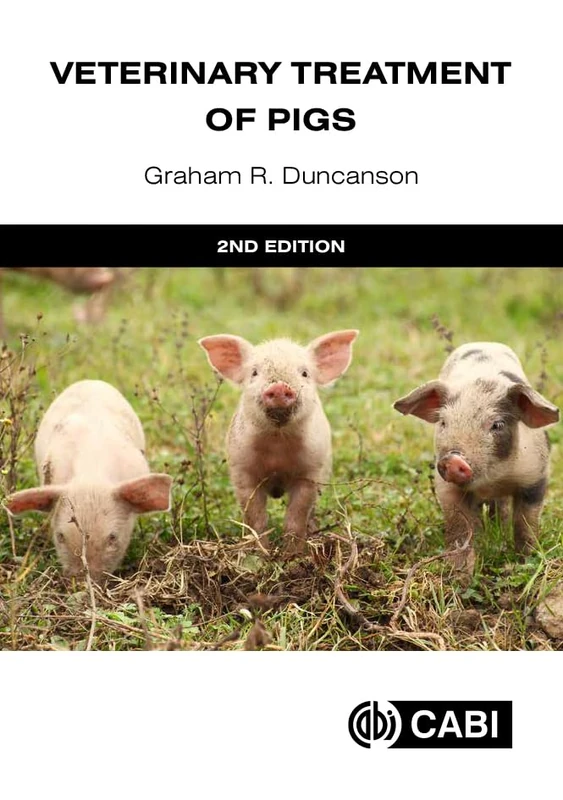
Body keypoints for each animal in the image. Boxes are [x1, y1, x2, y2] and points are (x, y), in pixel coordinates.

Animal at [198, 330, 359, 557]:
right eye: (254, 372)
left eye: (304, 373)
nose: (280, 386)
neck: (277, 446)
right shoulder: (242, 471)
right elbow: (255, 518)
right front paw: (260, 555)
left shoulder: (310, 472)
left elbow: (295, 517)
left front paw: (293, 556)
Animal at [393, 342, 560, 573]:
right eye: (443, 422)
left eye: (497, 424)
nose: (453, 459)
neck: (492, 480)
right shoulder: (446, 487)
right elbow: (459, 528)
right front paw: (459, 573)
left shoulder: (536, 475)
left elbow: (525, 523)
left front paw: (526, 561)